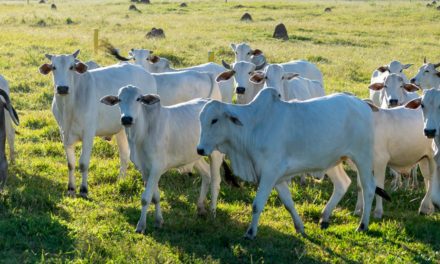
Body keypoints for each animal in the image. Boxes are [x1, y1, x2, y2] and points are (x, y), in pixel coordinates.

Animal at [38, 50, 157, 198]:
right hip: (121, 130)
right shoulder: (64, 134)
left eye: (71, 67)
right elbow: (70, 163)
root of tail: (144, 71)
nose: (62, 88)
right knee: (124, 154)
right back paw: (120, 180)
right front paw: (71, 189)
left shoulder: (88, 134)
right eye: (54, 67)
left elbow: (83, 163)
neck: (68, 107)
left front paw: (84, 190)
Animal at [100, 85, 223, 232]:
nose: (127, 119)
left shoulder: (156, 167)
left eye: (138, 99)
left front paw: (141, 226)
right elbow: (155, 197)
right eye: (119, 99)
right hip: (194, 155)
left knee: (215, 182)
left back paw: (213, 214)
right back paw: (200, 208)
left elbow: (146, 198)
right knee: (206, 174)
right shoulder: (144, 169)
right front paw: (159, 221)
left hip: (216, 154)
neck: (141, 134)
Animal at [198, 88, 386, 239]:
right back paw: (324, 217)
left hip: (362, 157)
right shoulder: (278, 178)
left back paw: (362, 225)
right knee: (343, 183)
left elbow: (257, 205)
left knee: (369, 188)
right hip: (335, 160)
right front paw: (300, 227)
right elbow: (288, 204)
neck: (254, 126)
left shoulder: (269, 173)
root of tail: (361, 103)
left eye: (214, 120)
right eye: (201, 120)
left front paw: (250, 232)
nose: (200, 149)